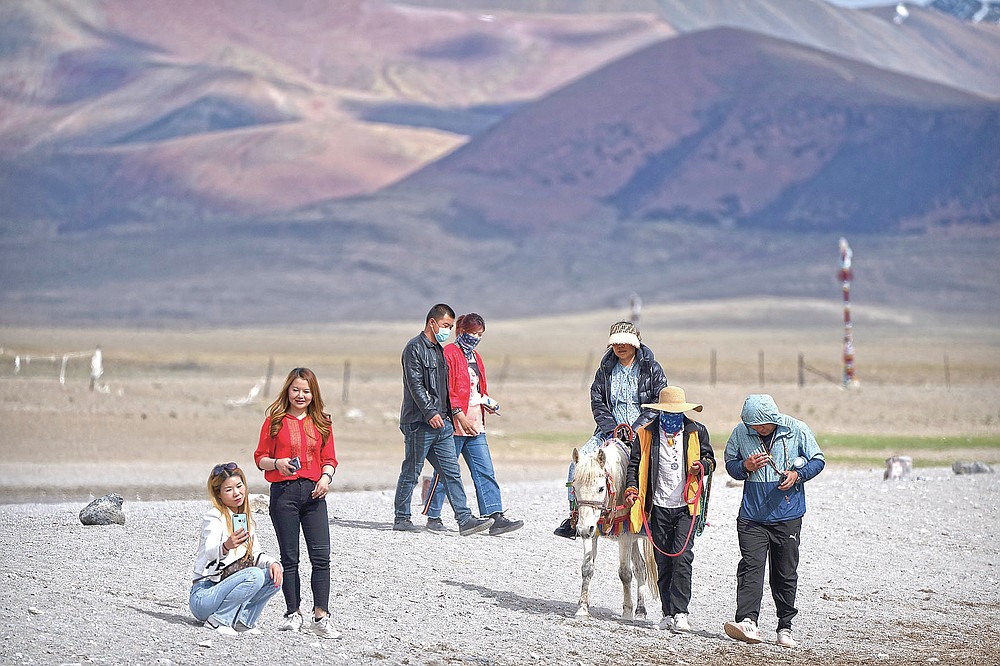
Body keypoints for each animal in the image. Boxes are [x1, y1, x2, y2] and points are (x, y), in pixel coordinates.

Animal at [572, 438, 656, 620]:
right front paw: (582, 608)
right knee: (641, 568)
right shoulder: (592, 532)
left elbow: (624, 573)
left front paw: (627, 612)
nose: (582, 529)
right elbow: (587, 568)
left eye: (601, 488)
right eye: (574, 487)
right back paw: (641, 611)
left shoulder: (624, 537)